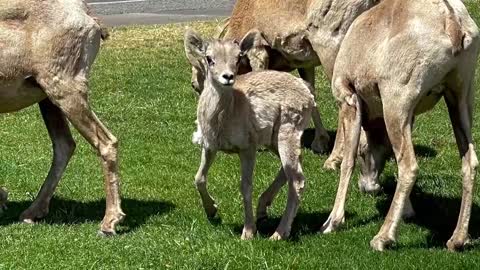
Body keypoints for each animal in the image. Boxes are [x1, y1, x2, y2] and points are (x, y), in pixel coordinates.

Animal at [0, 0, 124, 235]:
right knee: (64, 145)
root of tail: (85, 14)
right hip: (48, 99)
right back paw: (32, 213)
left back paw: (108, 224)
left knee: (105, 142)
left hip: (65, 90)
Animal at [186, 29, 316, 239]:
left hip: (288, 130)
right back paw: (263, 210)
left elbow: (246, 186)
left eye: (238, 57)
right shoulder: (210, 146)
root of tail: (307, 91)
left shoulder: (248, 147)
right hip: (273, 140)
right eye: (209, 58)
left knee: (297, 179)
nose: (228, 76)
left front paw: (247, 232)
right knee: (292, 166)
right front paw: (212, 211)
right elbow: (199, 178)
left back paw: (278, 234)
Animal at [320, 0, 478, 251]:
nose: (368, 187)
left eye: (365, 152)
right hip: (460, 100)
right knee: (469, 162)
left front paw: (332, 223)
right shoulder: (409, 117)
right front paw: (408, 212)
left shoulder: (349, 100)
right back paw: (457, 240)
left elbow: (347, 161)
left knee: (409, 166)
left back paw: (382, 238)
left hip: (396, 104)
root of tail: (452, 21)